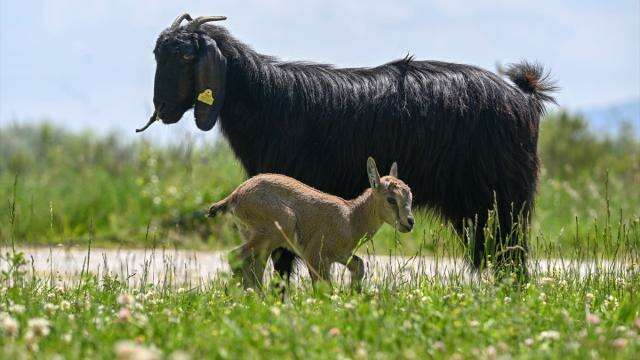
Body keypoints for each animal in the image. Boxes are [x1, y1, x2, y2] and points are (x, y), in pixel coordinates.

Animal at [140, 14, 556, 282]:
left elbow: (283, 261)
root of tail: (524, 97)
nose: (163, 108)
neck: (267, 97)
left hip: (503, 199)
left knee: (511, 258)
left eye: (185, 56)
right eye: (158, 56)